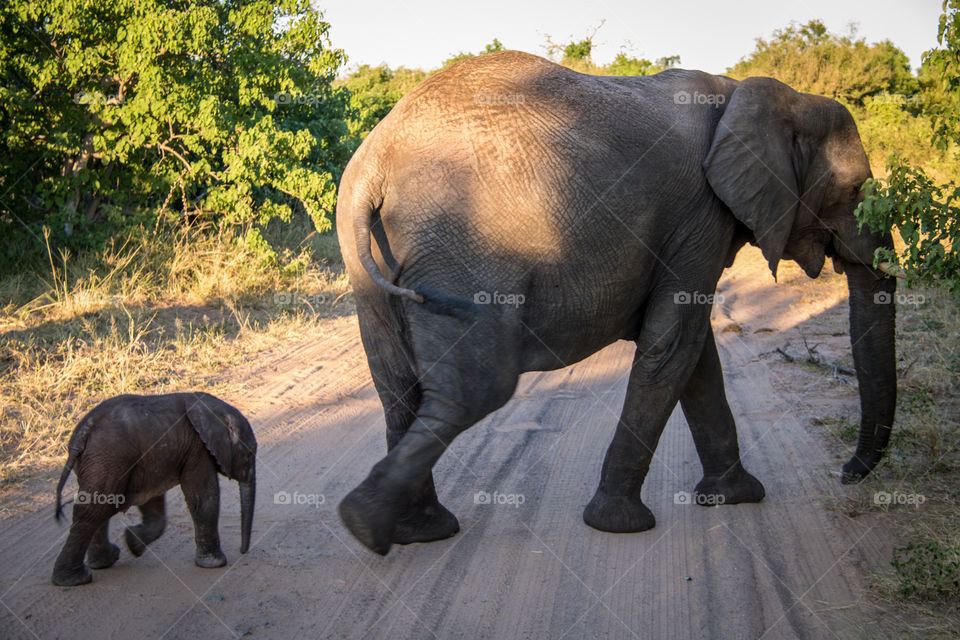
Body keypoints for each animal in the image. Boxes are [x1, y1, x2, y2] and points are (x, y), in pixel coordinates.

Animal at [51, 392, 256, 586]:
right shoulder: (198, 448)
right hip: (108, 458)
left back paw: (103, 562)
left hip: (100, 461)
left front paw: (133, 543)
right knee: (94, 510)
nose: (243, 551)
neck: (217, 411)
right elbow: (204, 498)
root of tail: (83, 430)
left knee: (99, 507)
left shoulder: (152, 461)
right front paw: (215, 564)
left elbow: (152, 503)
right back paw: (75, 580)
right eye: (248, 454)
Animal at [335, 50, 897, 556]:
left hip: (375, 262)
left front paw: (735, 498)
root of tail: (376, 164)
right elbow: (675, 345)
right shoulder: (700, 215)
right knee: (476, 390)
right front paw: (621, 526)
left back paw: (413, 532)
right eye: (854, 190)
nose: (846, 475)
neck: (750, 93)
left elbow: (694, 352)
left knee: (397, 385)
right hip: (465, 247)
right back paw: (364, 522)